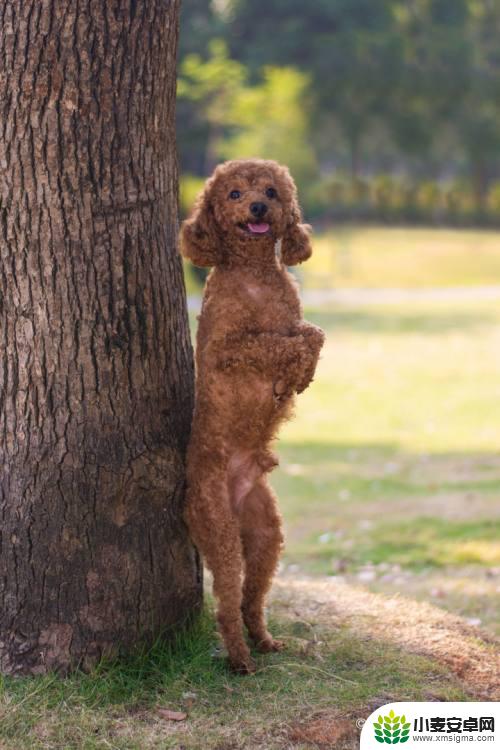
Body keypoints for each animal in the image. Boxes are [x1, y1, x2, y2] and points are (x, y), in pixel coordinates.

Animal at [180, 159, 324, 676]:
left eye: (271, 190)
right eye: (234, 194)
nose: (259, 207)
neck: (256, 275)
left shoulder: (292, 318)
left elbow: (310, 333)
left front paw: (298, 380)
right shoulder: (228, 347)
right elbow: (285, 340)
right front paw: (291, 377)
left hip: (266, 535)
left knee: (250, 598)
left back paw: (262, 640)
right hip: (218, 528)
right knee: (225, 601)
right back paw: (239, 660)